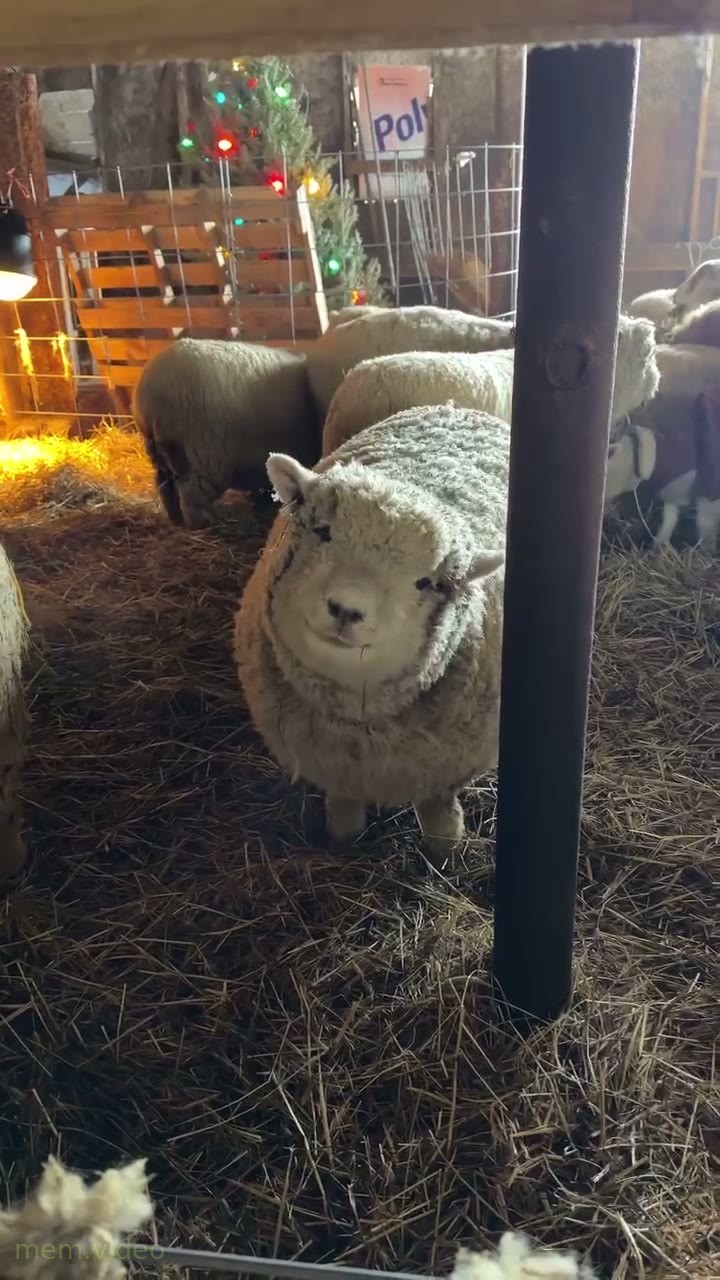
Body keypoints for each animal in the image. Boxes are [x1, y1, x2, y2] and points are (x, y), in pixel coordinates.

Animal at [132, 338, 319, 529]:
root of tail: (147, 391)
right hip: (198, 457)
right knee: (191, 496)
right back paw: (201, 526)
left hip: (161, 454)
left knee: (165, 486)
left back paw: (175, 520)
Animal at [234, 403, 507, 862]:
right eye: (323, 532)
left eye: (427, 583)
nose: (346, 609)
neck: (356, 725)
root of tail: (455, 407)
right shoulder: (335, 766)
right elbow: (345, 804)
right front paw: (343, 839)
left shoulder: (447, 766)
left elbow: (437, 804)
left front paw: (443, 850)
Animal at [604, 387, 720, 548]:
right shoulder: (673, 490)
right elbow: (669, 519)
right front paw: (657, 546)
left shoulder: (710, 489)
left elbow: (705, 525)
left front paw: (705, 550)